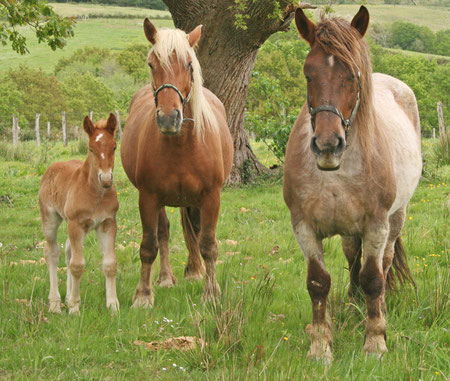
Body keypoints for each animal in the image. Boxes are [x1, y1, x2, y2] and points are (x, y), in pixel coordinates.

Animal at [39, 113, 119, 314]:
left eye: (114, 146)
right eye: (91, 148)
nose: (106, 179)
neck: (96, 194)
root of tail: (51, 167)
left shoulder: (108, 223)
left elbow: (110, 264)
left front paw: (113, 306)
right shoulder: (76, 224)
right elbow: (77, 265)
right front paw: (75, 308)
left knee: (68, 251)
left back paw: (66, 298)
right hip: (50, 218)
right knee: (52, 252)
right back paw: (55, 303)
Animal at [121, 19, 234, 308]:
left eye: (189, 65)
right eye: (152, 64)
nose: (169, 118)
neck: (182, 145)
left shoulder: (211, 197)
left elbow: (208, 244)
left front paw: (211, 292)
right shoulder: (148, 197)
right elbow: (149, 245)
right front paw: (143, 295)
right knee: (163, 233)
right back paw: (165, 278)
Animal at [284, 6, 422, 362]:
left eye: (353, 76)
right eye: (308, 74)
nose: (328, 145)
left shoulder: (376, 225)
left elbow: (373, 278)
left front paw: (375, 342)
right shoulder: (304, 227)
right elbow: (319, 283)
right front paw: (320, 346)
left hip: (395, 220)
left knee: (383, 265)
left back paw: (379, 311)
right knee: (351, 259)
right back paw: (352, 306)